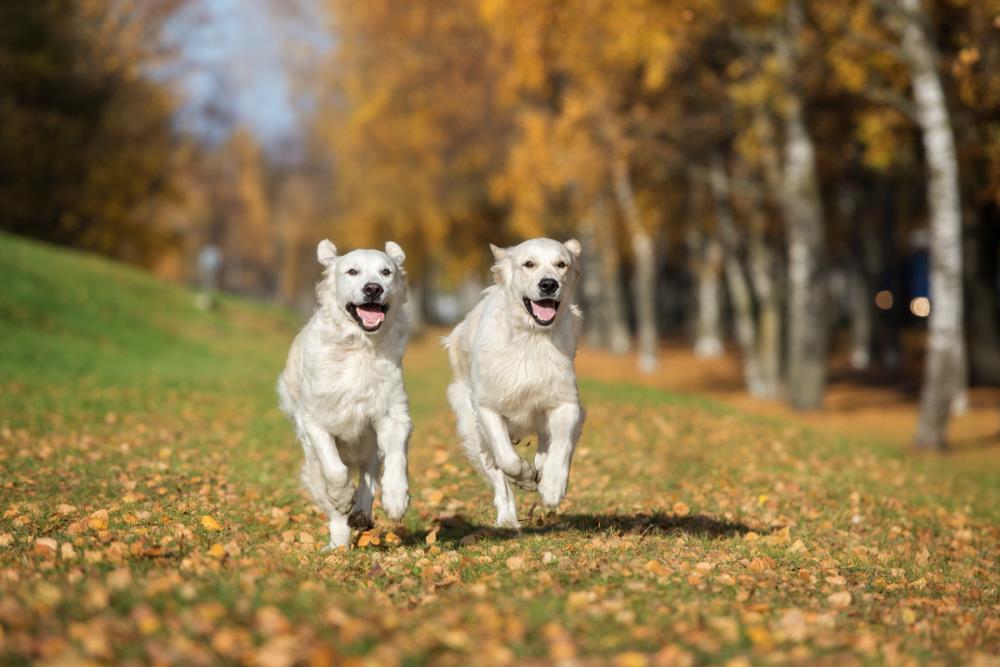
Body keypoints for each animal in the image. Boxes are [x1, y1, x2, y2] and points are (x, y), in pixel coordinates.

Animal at [278, 240, 410, 548]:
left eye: (386, 271)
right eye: (352, 271)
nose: (373, 288)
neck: (360, 345)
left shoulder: (393, 412)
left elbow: (396, 457)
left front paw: (396, 497)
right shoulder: (313, 418)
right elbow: (334, 468)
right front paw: (341, 497)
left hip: (370, 445)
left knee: (370, 472)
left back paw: (361, 512)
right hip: (311, 461)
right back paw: (338, 542)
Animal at [446, 237, 584, 528]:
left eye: (561, 264)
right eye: (528, 264)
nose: (548, 284)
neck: (532, 337)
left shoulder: (567, 402)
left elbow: (562, 445)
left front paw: (552, 485)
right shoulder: (486, 407)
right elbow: (508, 459)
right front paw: (527, 478)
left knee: (546, 440)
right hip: (472, 432)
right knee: (498, 476)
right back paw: (508, 519)